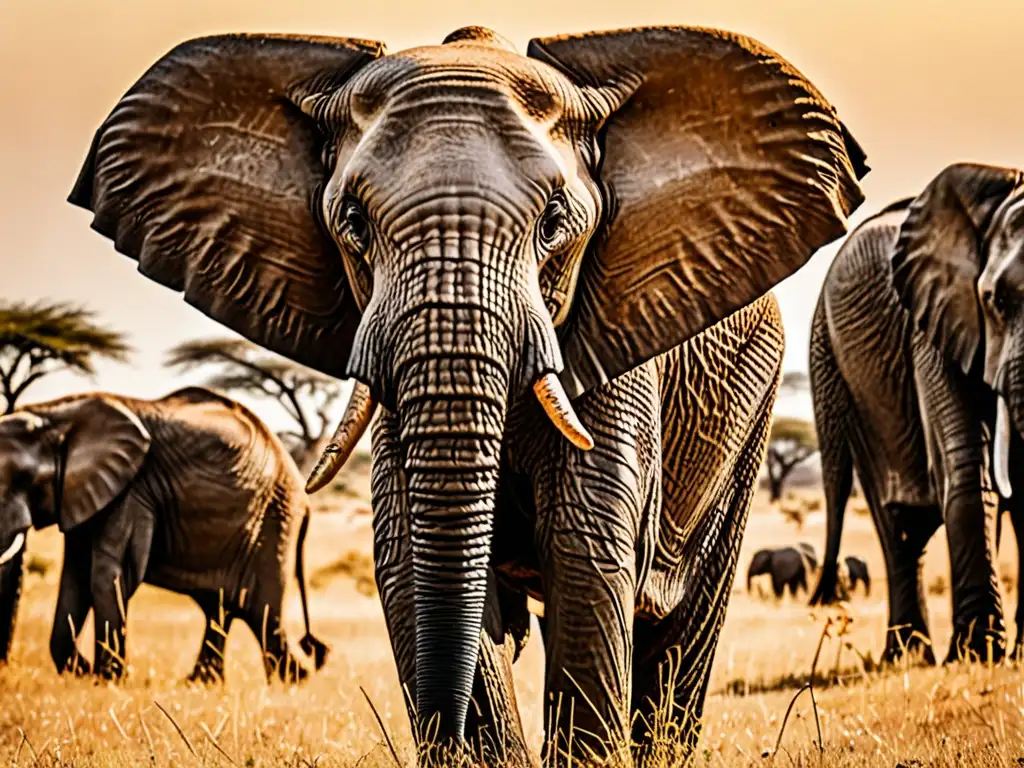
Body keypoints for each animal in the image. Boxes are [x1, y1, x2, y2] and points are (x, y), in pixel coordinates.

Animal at [0, 387, 329, 684]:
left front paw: (108, 681)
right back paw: (201, 684)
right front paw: (82, 672)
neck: (56, 416)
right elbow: (76, 575)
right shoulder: (81, 494)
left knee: (264, 617)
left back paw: (294, 683)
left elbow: (107, 576)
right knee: (221, 609)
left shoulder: (132, 489)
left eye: (25, 479)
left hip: (274, 523)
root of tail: (305, 496)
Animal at [61, 25, 864, 765]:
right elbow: (409, 559)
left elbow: (585, 552)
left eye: (555, 224)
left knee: (680, 626)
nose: (442, 723)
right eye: (352, 222)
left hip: (751, 405)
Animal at [806, 163, 1024, 667]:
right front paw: (977, 656)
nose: (823, 599)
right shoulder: (933, 323)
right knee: (898, 527)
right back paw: (906, 658)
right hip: (853, 384)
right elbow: (966, 466)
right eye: (995, 301)